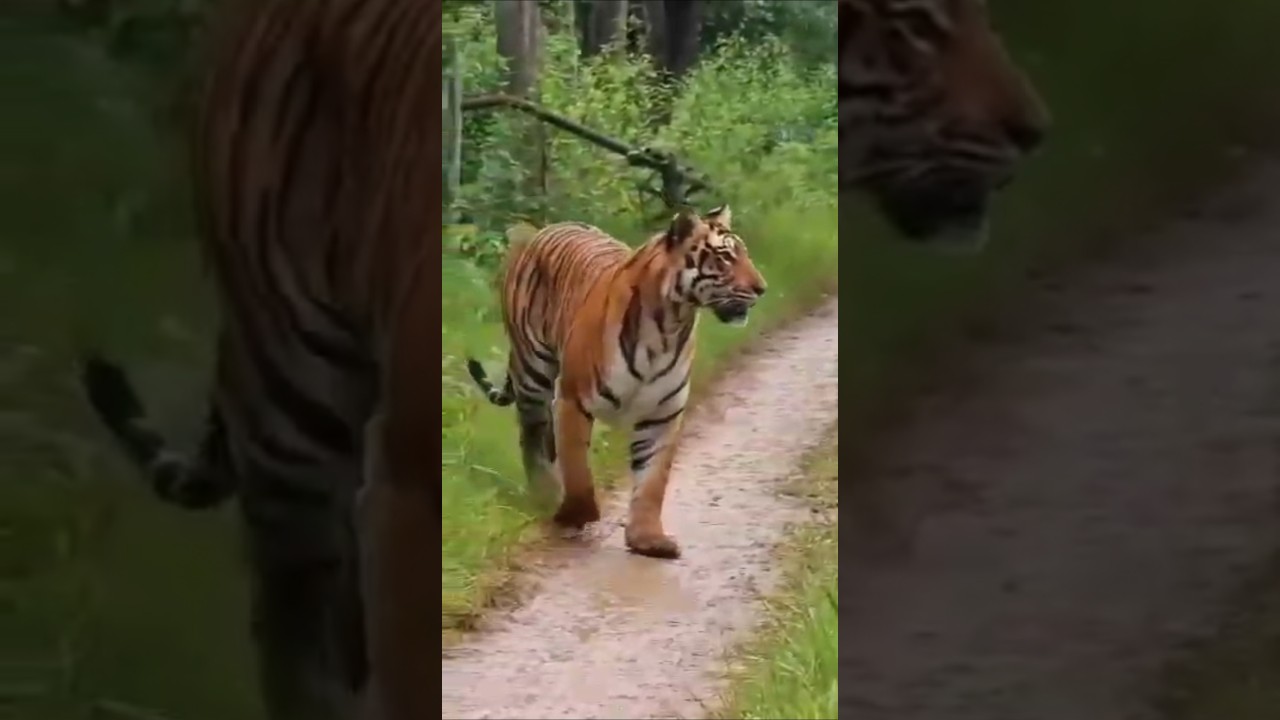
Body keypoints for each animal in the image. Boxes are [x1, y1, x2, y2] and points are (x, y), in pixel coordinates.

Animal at [465, 205, 765, 559]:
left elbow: (652, 481)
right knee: (533, 434)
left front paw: (648, 538)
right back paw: (545, 493)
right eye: (724, 258)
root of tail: (543, 229)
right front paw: (574, 515)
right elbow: (578, 469)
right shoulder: (573, 399)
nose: (762, 289)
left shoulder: (663, 414)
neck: (670, 326)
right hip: (533, 369)